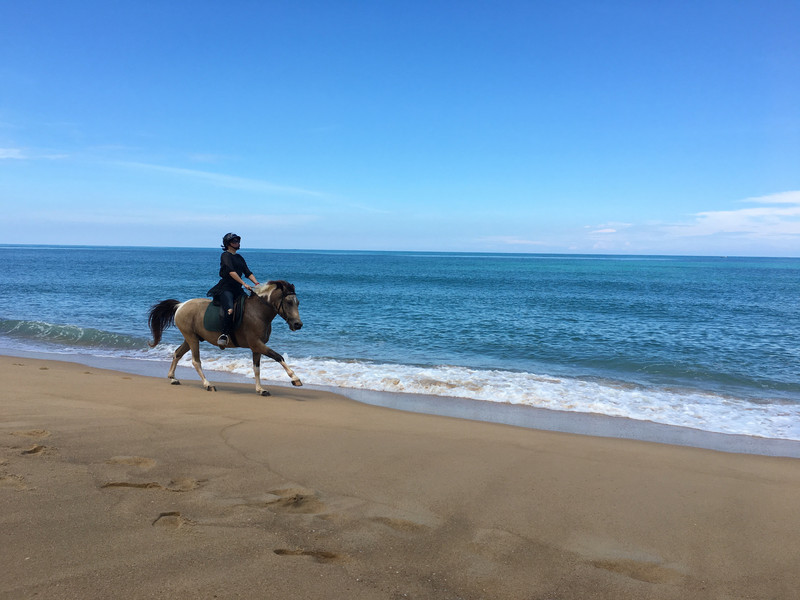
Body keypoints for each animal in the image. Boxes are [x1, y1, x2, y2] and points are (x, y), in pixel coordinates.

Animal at [147, 280, 304, 396]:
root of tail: (180, 305)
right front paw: (295, 378)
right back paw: (208, 384)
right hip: (192, 338)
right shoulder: (257, 344)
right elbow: (278, 357)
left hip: (191, 338)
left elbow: (256, 368)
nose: (298, 324)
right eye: (289, 302)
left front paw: (260, 389)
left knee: (177, 353)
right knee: (196, 361)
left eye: (298, 303)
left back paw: (173, 378)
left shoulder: (256, 347)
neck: (258, 312)